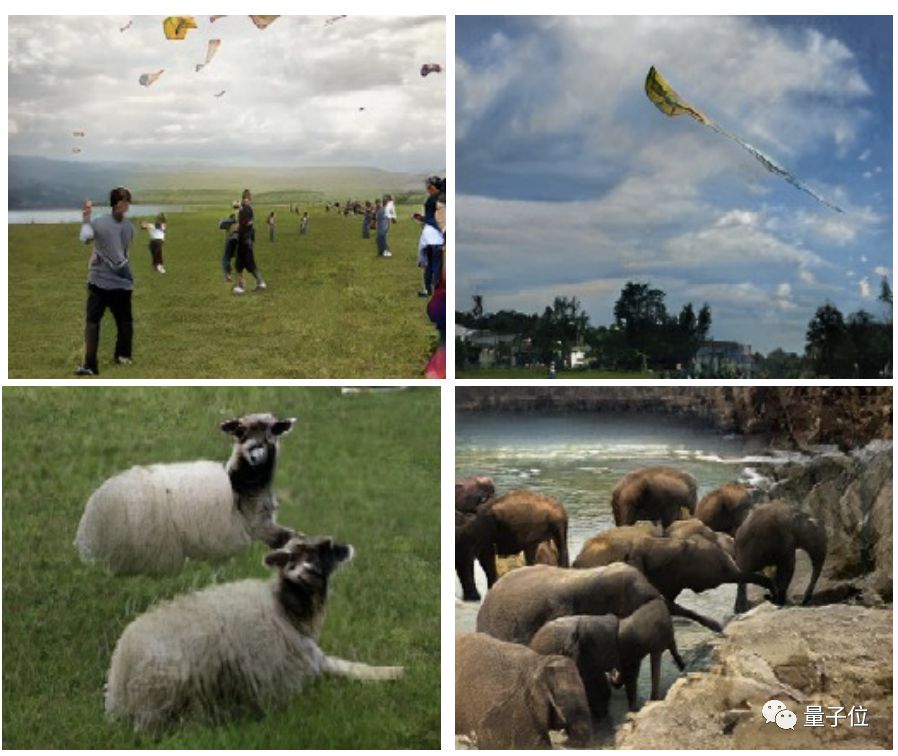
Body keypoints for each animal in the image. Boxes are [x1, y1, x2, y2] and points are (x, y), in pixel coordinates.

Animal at [74, 414, 298, 572]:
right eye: (239, 431)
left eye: (272, 432)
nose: (254, 453)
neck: (241, 486)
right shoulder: (254, 528)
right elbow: (289, 537)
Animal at [103, 532, 400, 732]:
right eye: (325, 550)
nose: (348, 547)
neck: (286, 611)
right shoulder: (281, 672)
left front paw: (391, 672)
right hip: (165, 694)